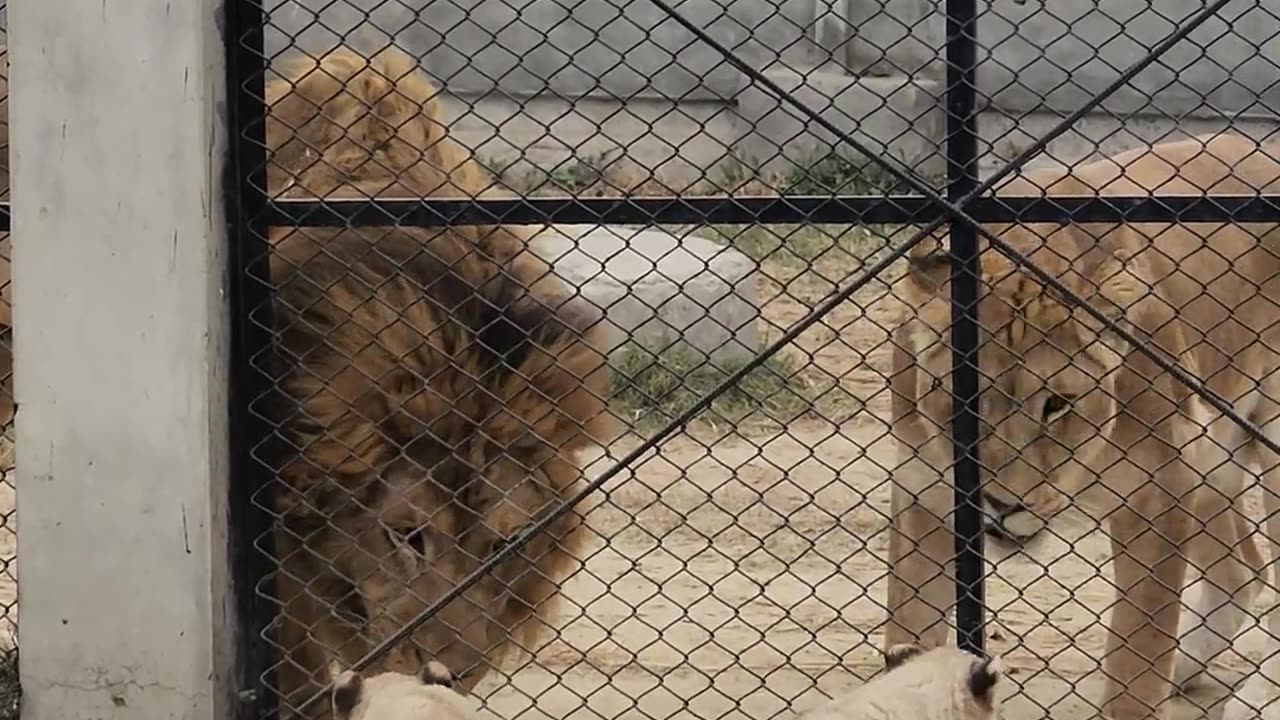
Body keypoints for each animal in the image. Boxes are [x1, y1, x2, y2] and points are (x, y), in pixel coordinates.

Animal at [890, 133, 1280, 717]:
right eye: (965, 398)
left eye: (1057, 404)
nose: (1003, 505)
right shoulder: (921, 488)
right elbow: (910, 635)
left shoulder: (1161, 491)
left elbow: (1137, 658)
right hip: (1214, 453)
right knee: (1244, 572)